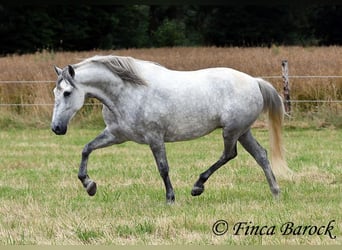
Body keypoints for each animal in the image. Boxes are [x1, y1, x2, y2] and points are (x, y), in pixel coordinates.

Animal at [51, 54, 292, 203]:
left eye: (67, 93)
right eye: (55, 92)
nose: (56, 128)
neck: (127, 91)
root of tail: (254, 81)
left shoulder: (154, 137)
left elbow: (163, 168)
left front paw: (170, 198)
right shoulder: (116, 135)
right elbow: (86, 149)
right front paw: (89, 185)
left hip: (232, 130)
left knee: (229, 154)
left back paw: (198, 186)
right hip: (243, 131)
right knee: (260, 155)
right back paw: (276, 192)